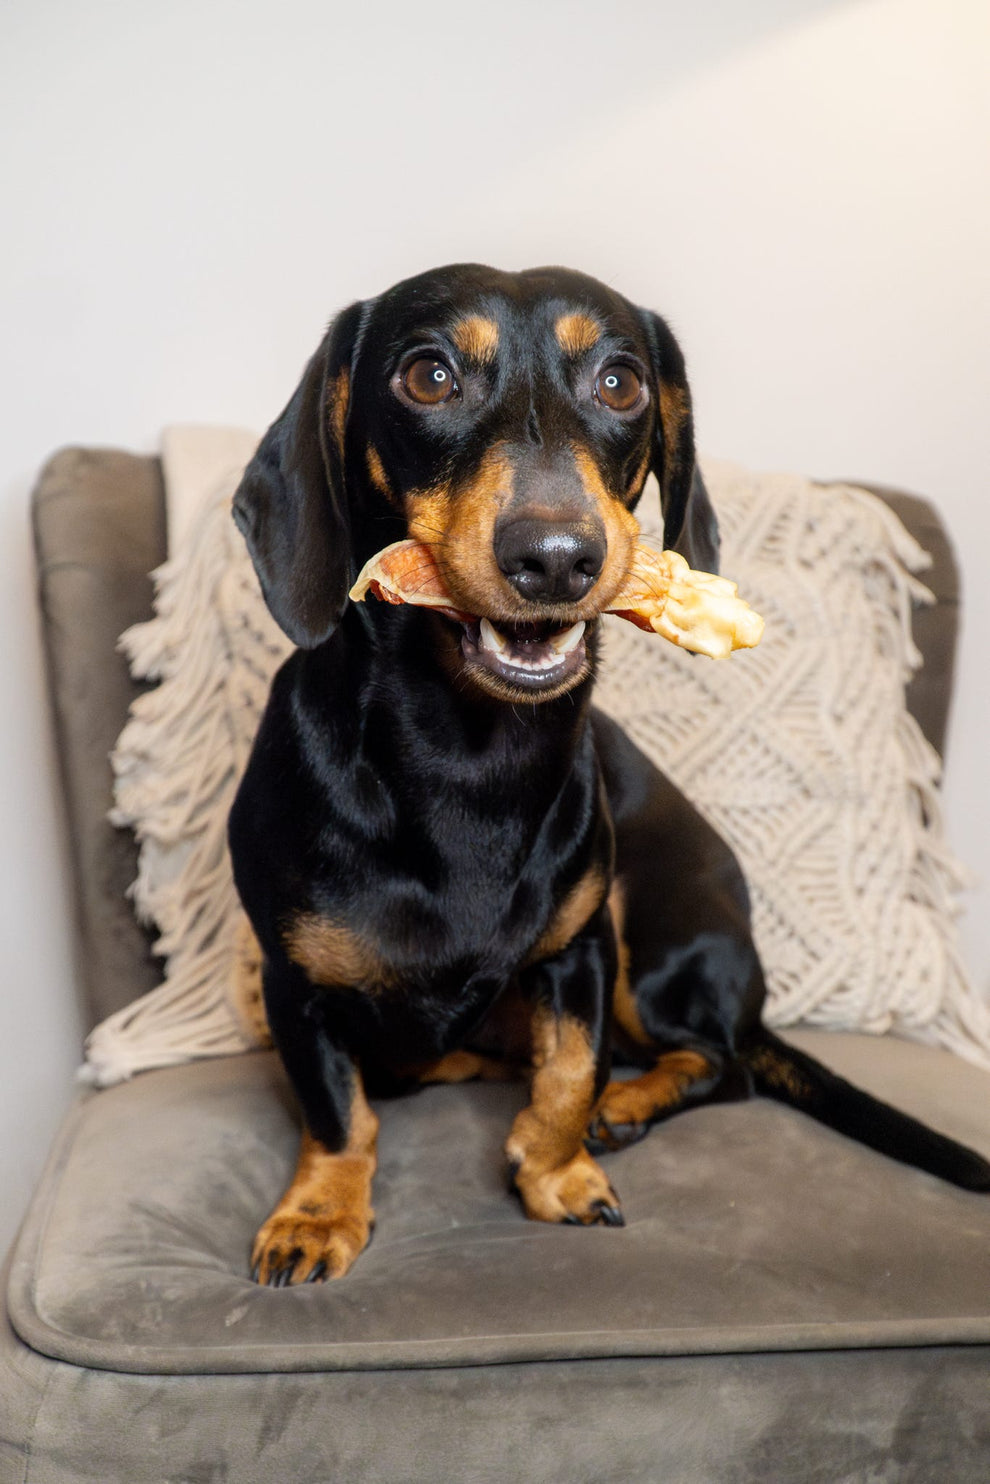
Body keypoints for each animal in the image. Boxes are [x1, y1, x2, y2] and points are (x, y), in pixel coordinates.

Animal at [227, 261, 990, 1282]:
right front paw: (318, 1214)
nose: (554, 557)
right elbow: (338, 1115)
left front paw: (559, 1170)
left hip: (655, 944)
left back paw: (625, 1105)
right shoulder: (294, 986)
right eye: (428, 376)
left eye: (621, 383)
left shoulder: (581, 951)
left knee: (720, 1064)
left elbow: (569, 1073)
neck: (467, 759)